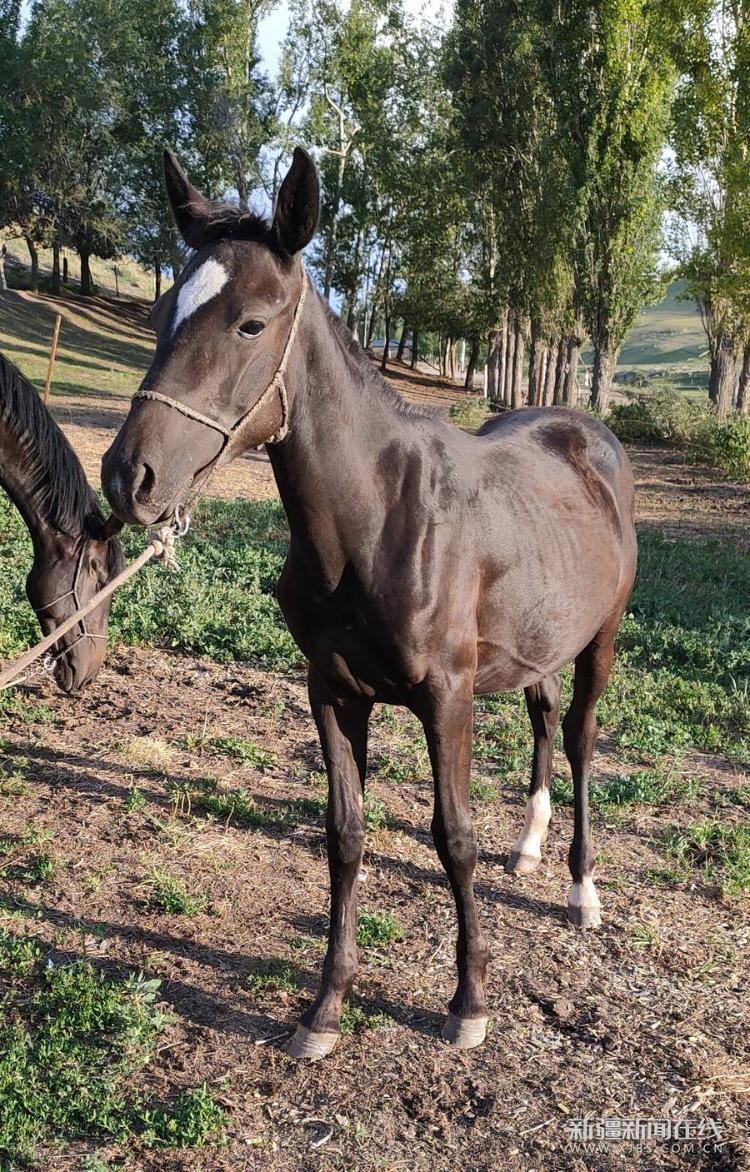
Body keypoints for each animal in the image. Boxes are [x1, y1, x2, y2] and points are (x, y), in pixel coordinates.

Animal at [100, 151, 637, 1059]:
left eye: (250, 324)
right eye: (162, 310)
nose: (129, 477)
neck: (379, 519)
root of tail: (590, 438)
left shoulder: (446, 698)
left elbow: (453, 839)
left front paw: (469, 1003)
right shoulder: (333, 690)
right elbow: (344, 837)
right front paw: (325, 1007)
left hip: (600, 640)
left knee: (578, 738)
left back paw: (580, 890)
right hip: (538, 640)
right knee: (541, 714)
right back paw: (529, 847)